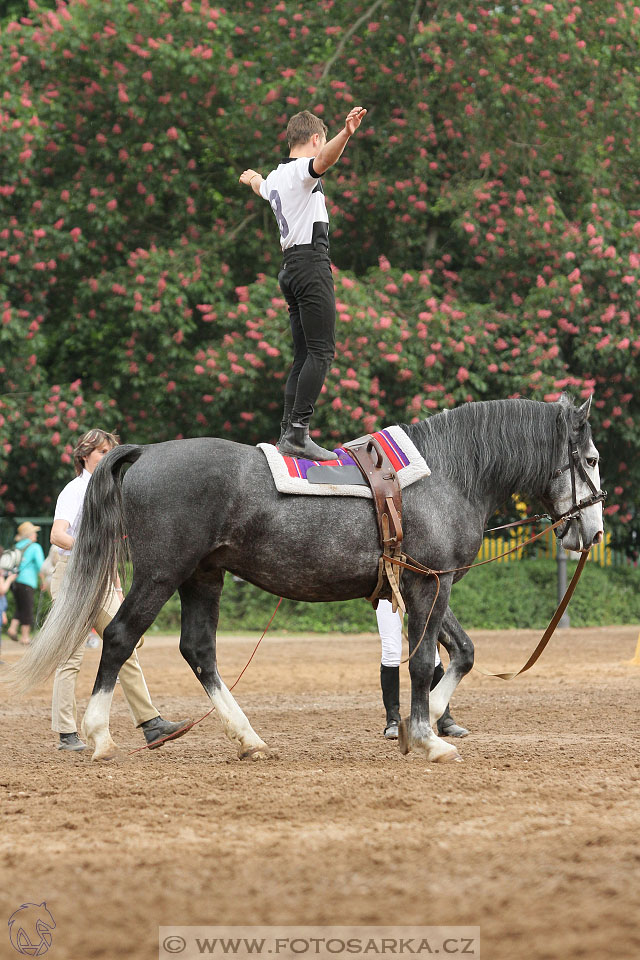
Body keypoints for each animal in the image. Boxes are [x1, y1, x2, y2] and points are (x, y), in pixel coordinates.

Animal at [10, 394, 604, 760]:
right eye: (592, 458)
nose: (594, 530)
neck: (449, 473)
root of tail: (147, 452)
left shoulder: (428, 583)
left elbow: (455, 654)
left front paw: (428, 723)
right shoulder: (432, 582)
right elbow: (422, 663)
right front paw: (426, 737)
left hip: (202, 577)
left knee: (199, 651)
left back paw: (247, 737)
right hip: (160, 574)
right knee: (119, 638)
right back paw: (99, 735)